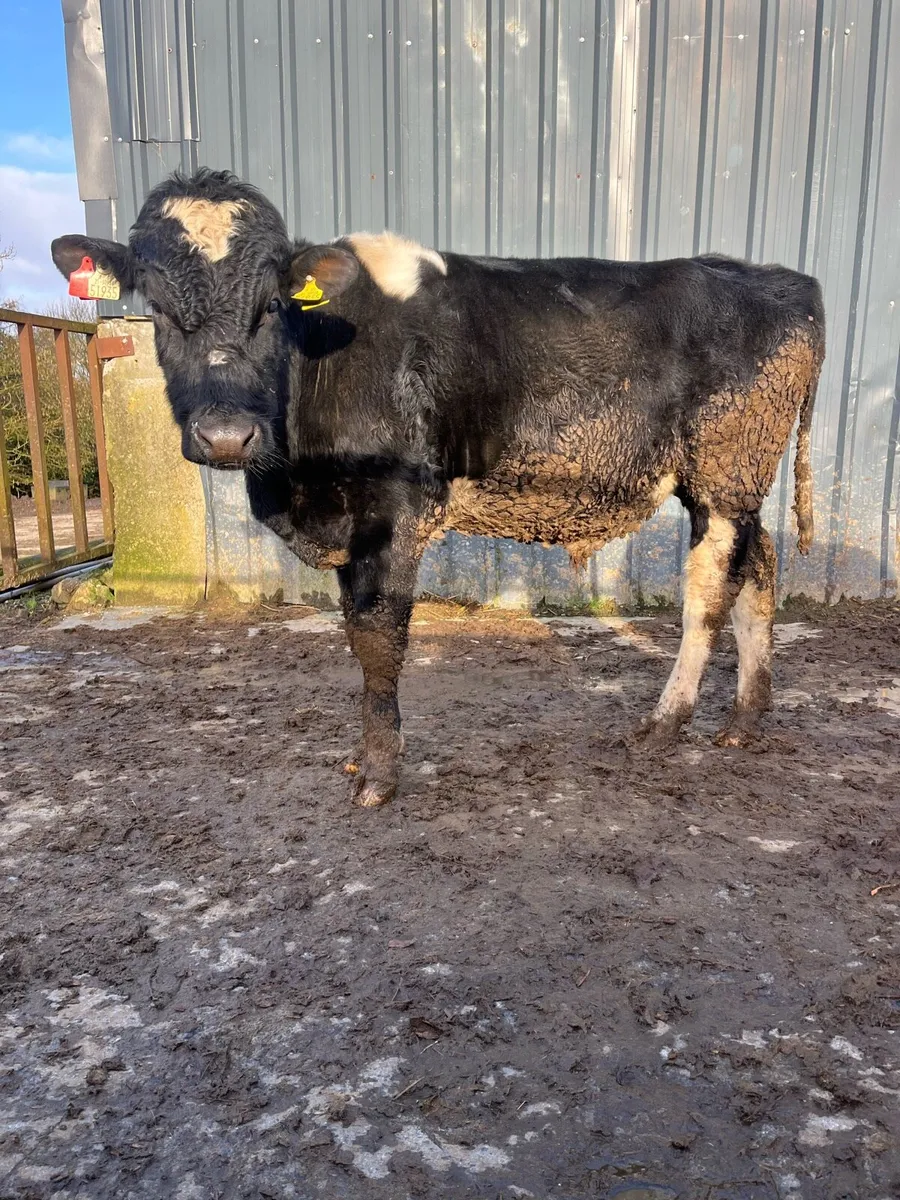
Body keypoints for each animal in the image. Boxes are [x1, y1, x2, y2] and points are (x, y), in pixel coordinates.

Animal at [52, 169, 825, 808]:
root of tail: (774, 279)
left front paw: (379, 774)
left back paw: (666, 722)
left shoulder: (395, 508)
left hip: (723, 474)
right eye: (155, 306)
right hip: (734, 482)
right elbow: (353, 631)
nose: (224, 435)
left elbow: (377, 639)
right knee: (759, 571)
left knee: (709, 593)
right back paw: (745, 719)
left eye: (272, 304)